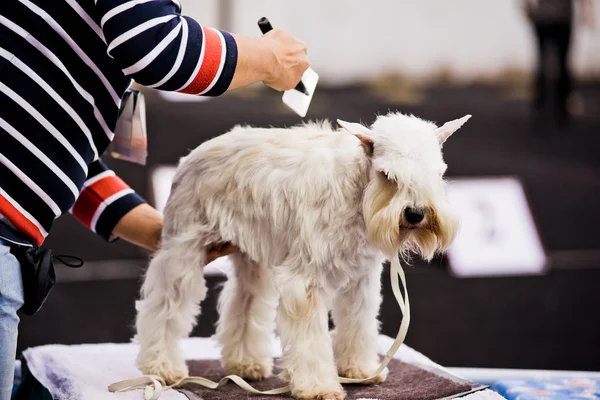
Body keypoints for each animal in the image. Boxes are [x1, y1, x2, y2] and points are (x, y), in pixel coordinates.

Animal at [134, 110, 472, 400]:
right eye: (387, 174)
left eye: (437, 173)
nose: (415, 213)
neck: (357, 193)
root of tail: (193, 155)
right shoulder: (305, 283)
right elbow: (311, 341)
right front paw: (318, 386)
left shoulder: (361, 279)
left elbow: (358, 325)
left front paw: (360, 369)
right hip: (182, 254)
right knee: (164, 307)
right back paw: (161, 366)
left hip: (252, 260)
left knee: (244, 303)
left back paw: (245, 364)